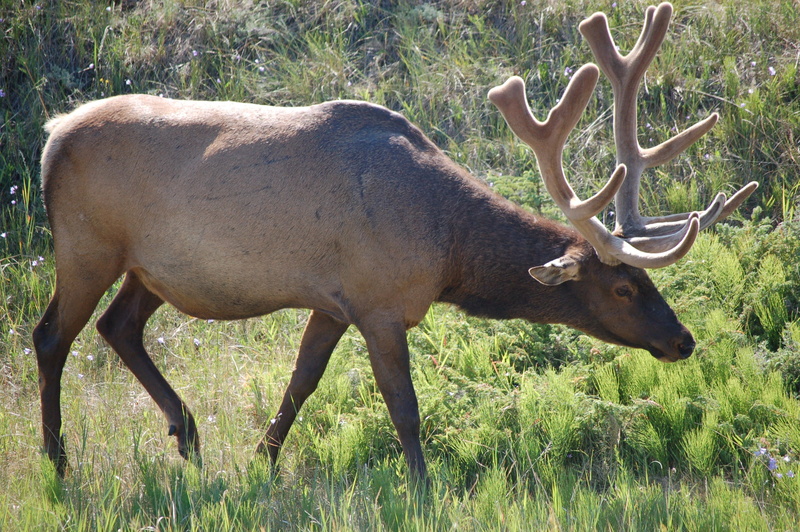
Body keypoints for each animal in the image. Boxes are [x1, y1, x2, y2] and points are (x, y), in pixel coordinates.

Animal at [33, 2, 756, 479]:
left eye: (650, 279)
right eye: (625, 284)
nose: (683, 339)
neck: (446, 250)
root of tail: (51, 135)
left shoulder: (332, 301)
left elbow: (300, 382)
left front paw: (263, 460)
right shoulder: (379, 303)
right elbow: (404, 408)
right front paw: (422, 487)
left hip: (147, 268)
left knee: (118, 327)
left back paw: (185, 433)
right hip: (86, 244)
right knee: (52, 336)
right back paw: (59, 461)